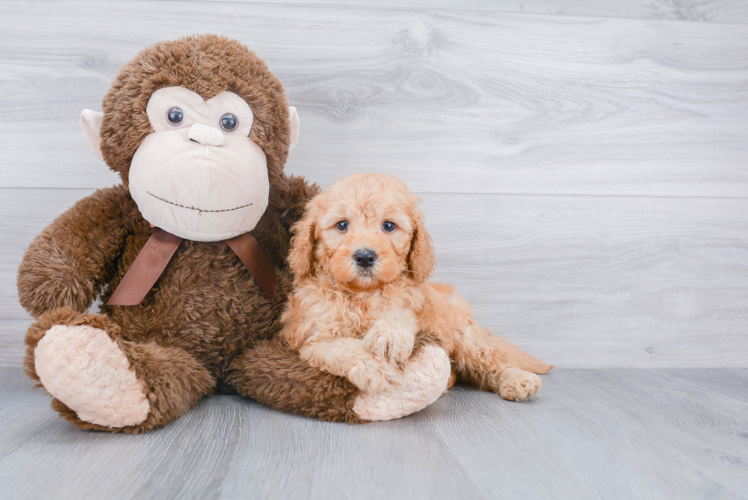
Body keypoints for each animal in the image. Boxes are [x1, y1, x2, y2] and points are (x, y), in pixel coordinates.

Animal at [284, 174, 552, 400]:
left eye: (388, 226)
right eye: (342, 225)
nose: (365, 256)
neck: (363, 294)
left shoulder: (410, 301)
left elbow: (399, 313)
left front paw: (389, 335)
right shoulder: (312, 339)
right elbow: (342, 347)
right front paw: (374, 367)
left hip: (465, 335)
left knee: (489, 361)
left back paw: (518, 379)